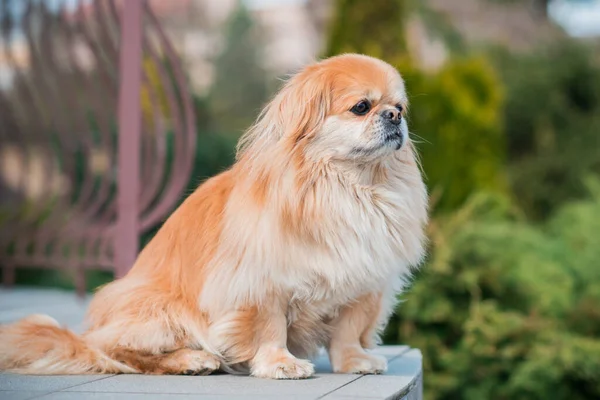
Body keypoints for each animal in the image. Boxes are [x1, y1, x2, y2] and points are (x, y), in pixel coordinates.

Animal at [0, 52, 426, 378]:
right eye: (361, 107)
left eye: (400, 107)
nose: (393, 117)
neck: (348, 188)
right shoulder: (262, 283)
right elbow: (270, 328)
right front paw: (281, 364)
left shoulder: (364, 282)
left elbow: (347, 332)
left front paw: (354, 361)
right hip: (160, 311)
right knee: (118, 353)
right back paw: (192, 360)